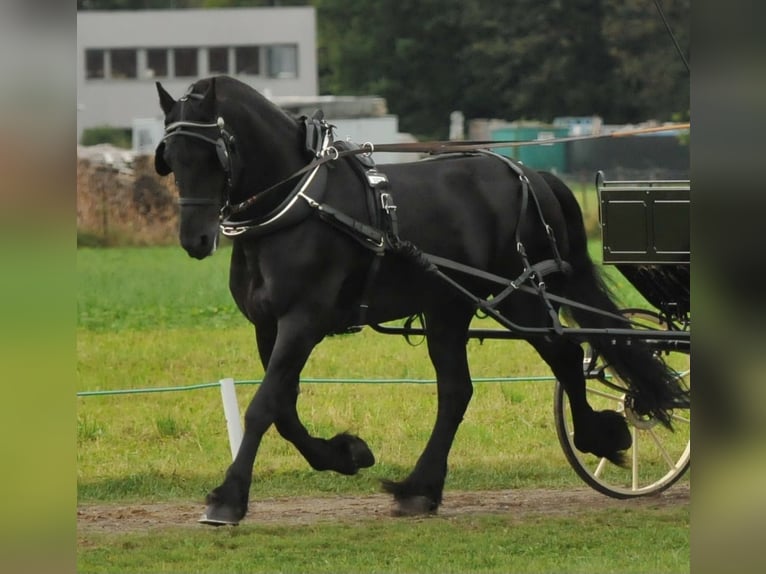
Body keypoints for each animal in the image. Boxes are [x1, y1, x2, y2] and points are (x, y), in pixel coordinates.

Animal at [154, 75, 685, 525]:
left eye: (215, 154)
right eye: (171, 158)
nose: (195, 239)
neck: (299, 204)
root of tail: (531, 174)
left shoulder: (303, 321)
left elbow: (263, 405)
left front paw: (228, 498)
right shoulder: (268, 325)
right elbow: (282, 407)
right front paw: (345, 454)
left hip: (520, 296)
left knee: (567, 356)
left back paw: (599, 435)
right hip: (449, 306)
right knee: (457, 391)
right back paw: (420, 489)